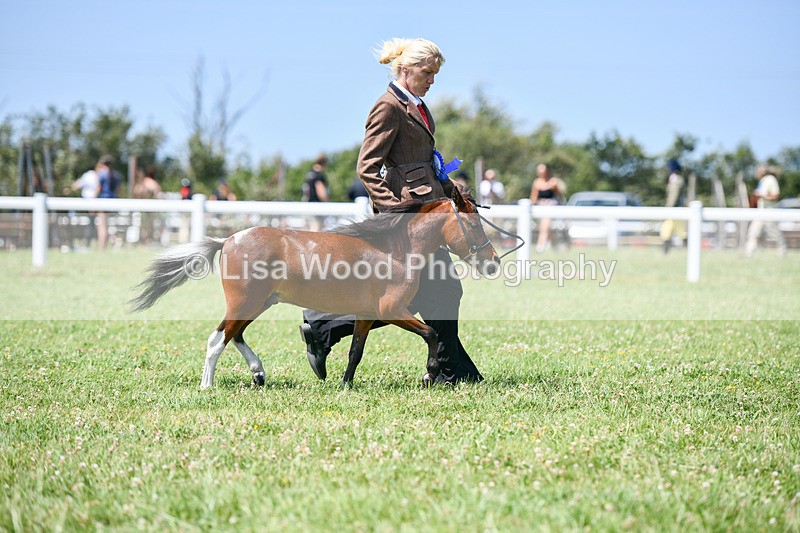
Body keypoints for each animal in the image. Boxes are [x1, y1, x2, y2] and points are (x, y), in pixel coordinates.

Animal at [130, 188, 500, 388]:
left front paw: (345, 384)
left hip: (259, 303)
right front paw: (430, 374)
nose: (493, 262)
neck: (396, 248)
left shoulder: (367, 315)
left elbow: (355, 351)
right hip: (244, 303)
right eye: (473, 225)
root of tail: (229, 239)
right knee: (217, 338)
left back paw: (259, 373)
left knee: (235, 335)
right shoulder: (392, 310)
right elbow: (432, 334)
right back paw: (208, 385)